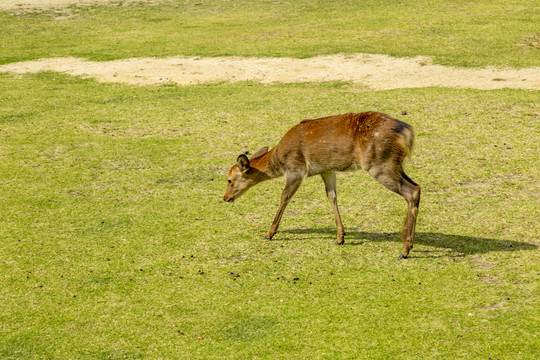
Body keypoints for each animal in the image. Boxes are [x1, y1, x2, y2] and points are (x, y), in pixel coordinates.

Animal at [221, 111, 420, 258]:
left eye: (229, 180)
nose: (225, 197)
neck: (279, 159)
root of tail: (407, 132)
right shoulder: (327, 170)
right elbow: (332, 197)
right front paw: (340, 237)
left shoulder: (296, 169)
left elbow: (284, 197)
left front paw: (269, 233)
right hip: (395, 163)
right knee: (416, 187)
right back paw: (408, 242)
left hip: (378, 165)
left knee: (411, 191)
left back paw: (405, 249)